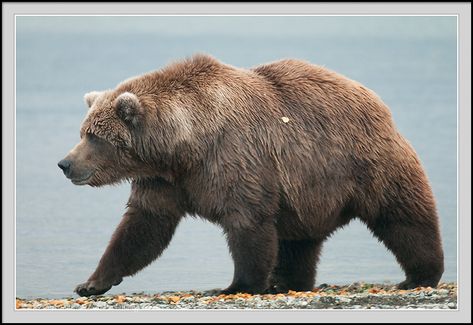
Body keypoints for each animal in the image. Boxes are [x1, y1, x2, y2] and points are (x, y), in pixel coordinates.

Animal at [58, 53, 442, 296]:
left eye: (95, 137)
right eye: (83, 132)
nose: (65, 163)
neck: (183, 147)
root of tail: (376, 100)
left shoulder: (236, 159)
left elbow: (248, 224)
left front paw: (236, 284)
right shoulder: (165, 181)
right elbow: (142, 227)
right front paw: (91, 283)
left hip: (363, 163)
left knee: (403, 216)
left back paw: (420, 275)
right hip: (306, 192)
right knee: (299, 241)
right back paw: (288, 281)